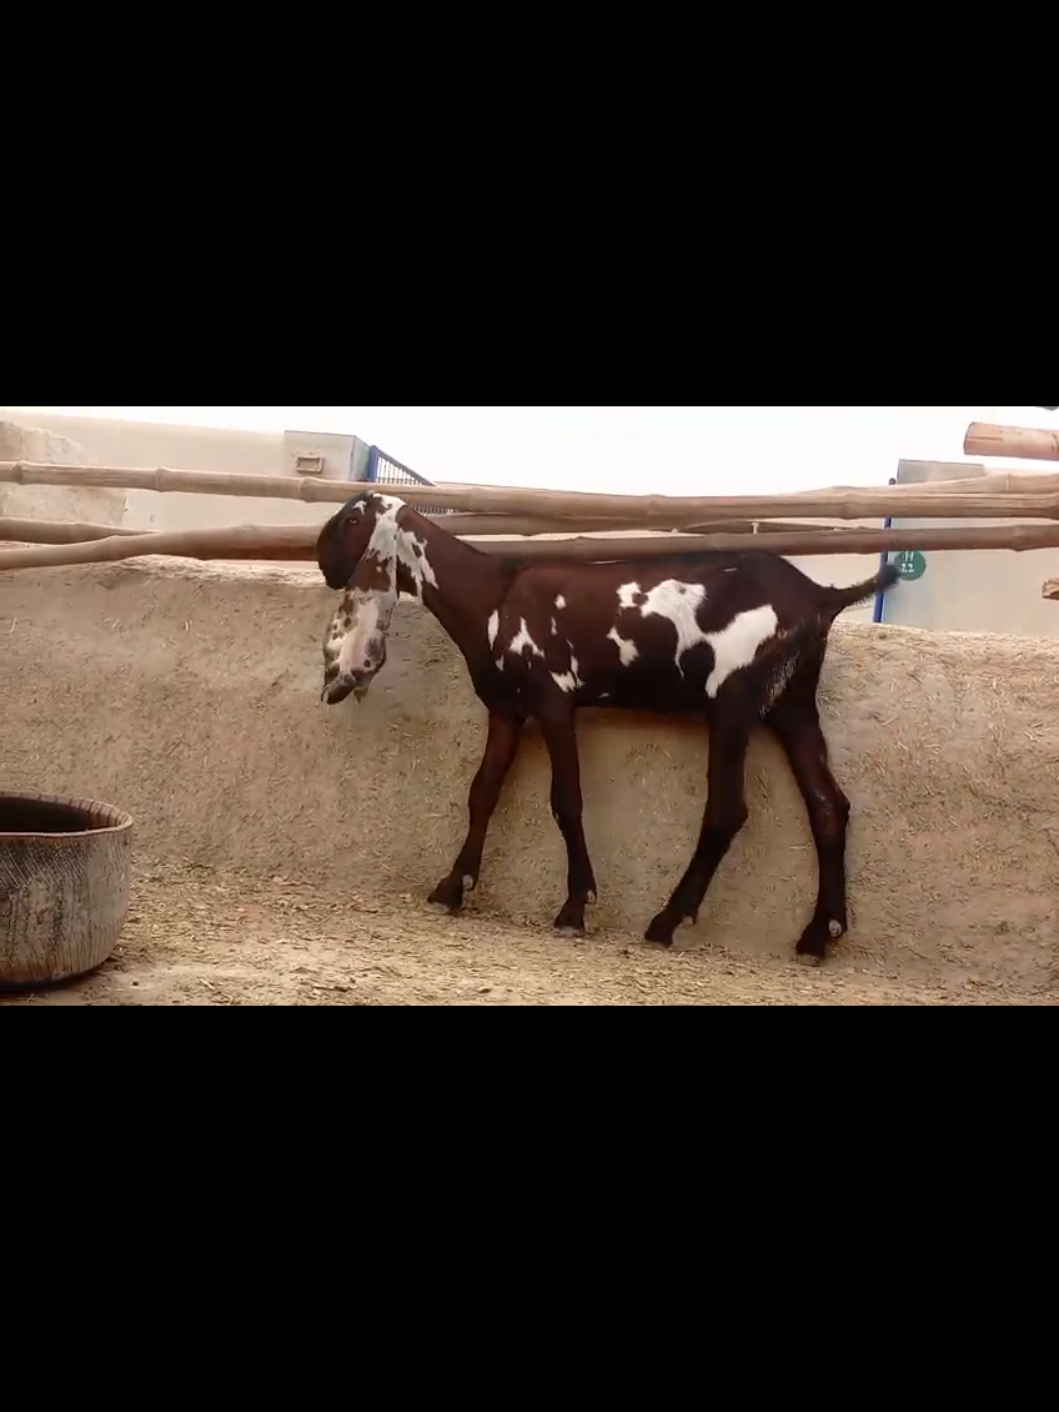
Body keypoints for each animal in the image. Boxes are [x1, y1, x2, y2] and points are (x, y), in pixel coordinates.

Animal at [316, 491, 898, 961]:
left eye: (351, 519)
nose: (322, 560)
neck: (492, 595)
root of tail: (821, 597)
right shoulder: (506, 709)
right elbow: (482, 793)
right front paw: (450, 888)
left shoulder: (554, 699)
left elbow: (566, 800)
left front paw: (575, 907)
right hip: (794, 706)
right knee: (828, 806)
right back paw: (819, 935)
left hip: (734, 700)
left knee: (727, 811)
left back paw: (666, 921)